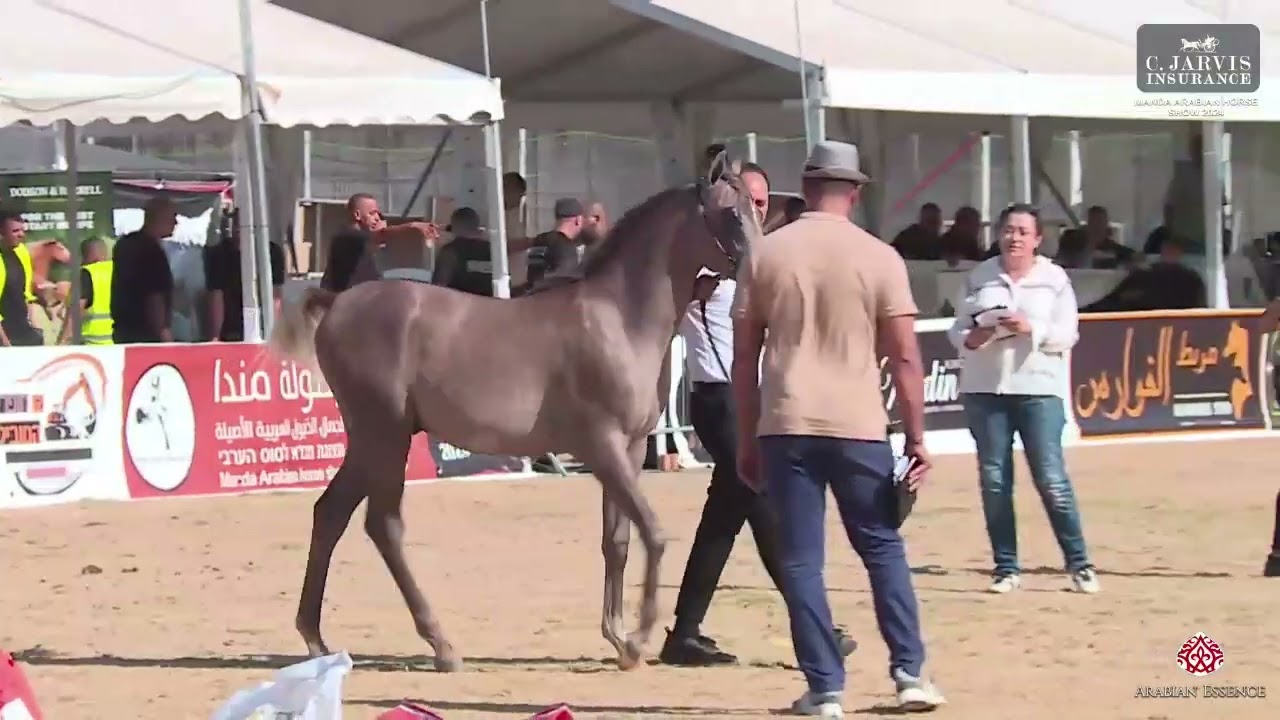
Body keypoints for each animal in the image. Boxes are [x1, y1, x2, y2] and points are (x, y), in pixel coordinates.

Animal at [268, 152, 763, 671]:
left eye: (755, 207)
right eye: (731, 213)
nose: (760, 275)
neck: (618, 318)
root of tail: (337, 303)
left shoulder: (627, 452)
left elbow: (618, 541)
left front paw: (617, 637)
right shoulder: (602, 446)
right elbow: (654, 532)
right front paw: (639, 638)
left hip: (371, 439)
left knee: (330, 514)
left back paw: (316, 640)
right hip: (386, 435)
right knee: (382, 525)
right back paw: (442, 645)